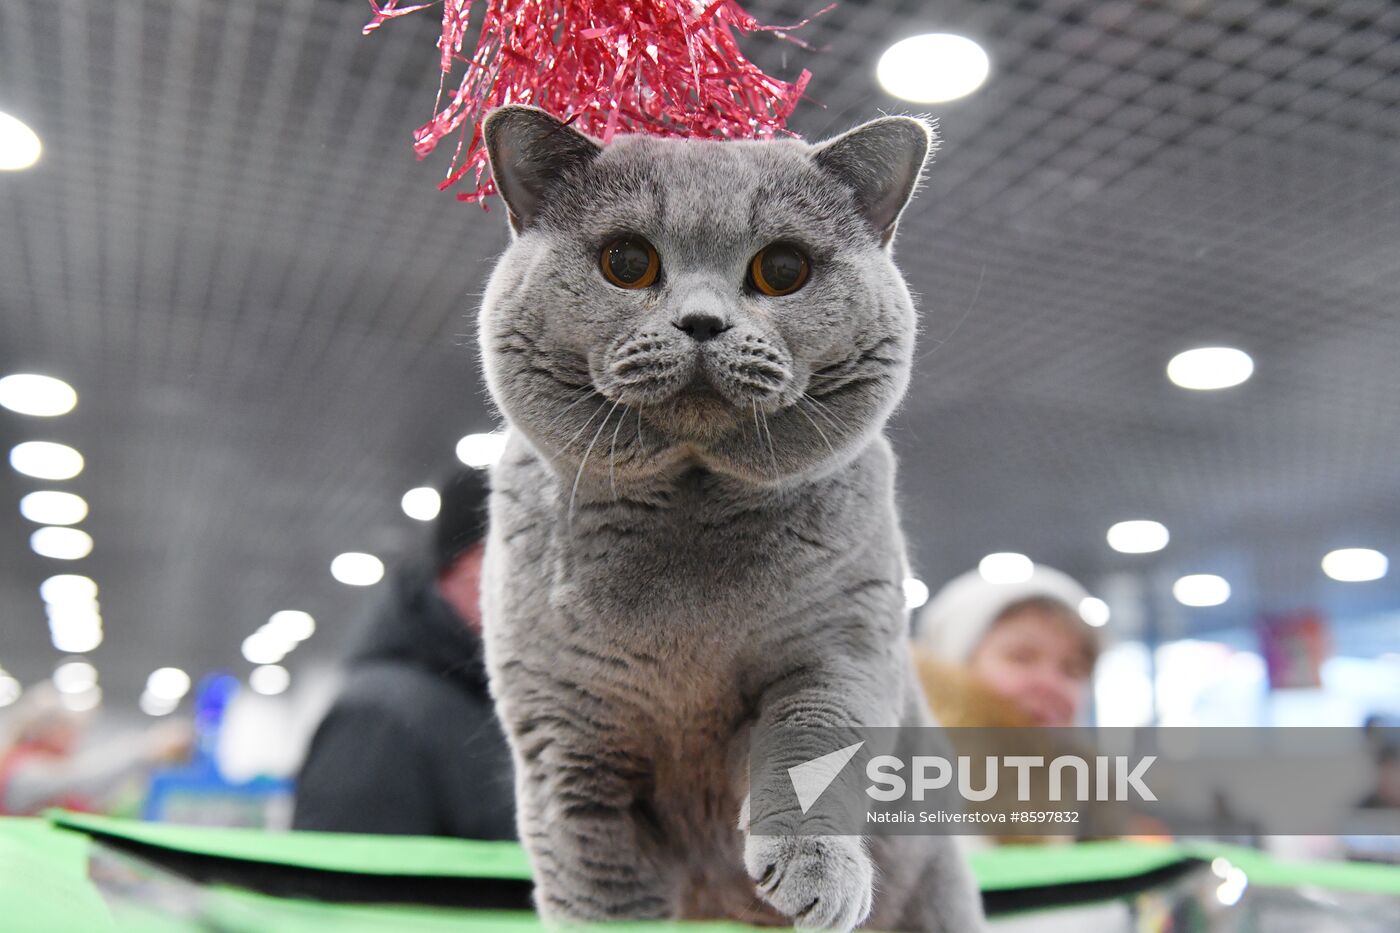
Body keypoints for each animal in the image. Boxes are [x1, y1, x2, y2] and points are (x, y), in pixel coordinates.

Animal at [476, 105, 980, 924]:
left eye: (783, 269)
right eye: (627, 261)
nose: (703, 321)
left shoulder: (842, 645)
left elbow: (813, 745)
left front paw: (817, 875)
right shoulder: (566, 742)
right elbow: (596, 888)